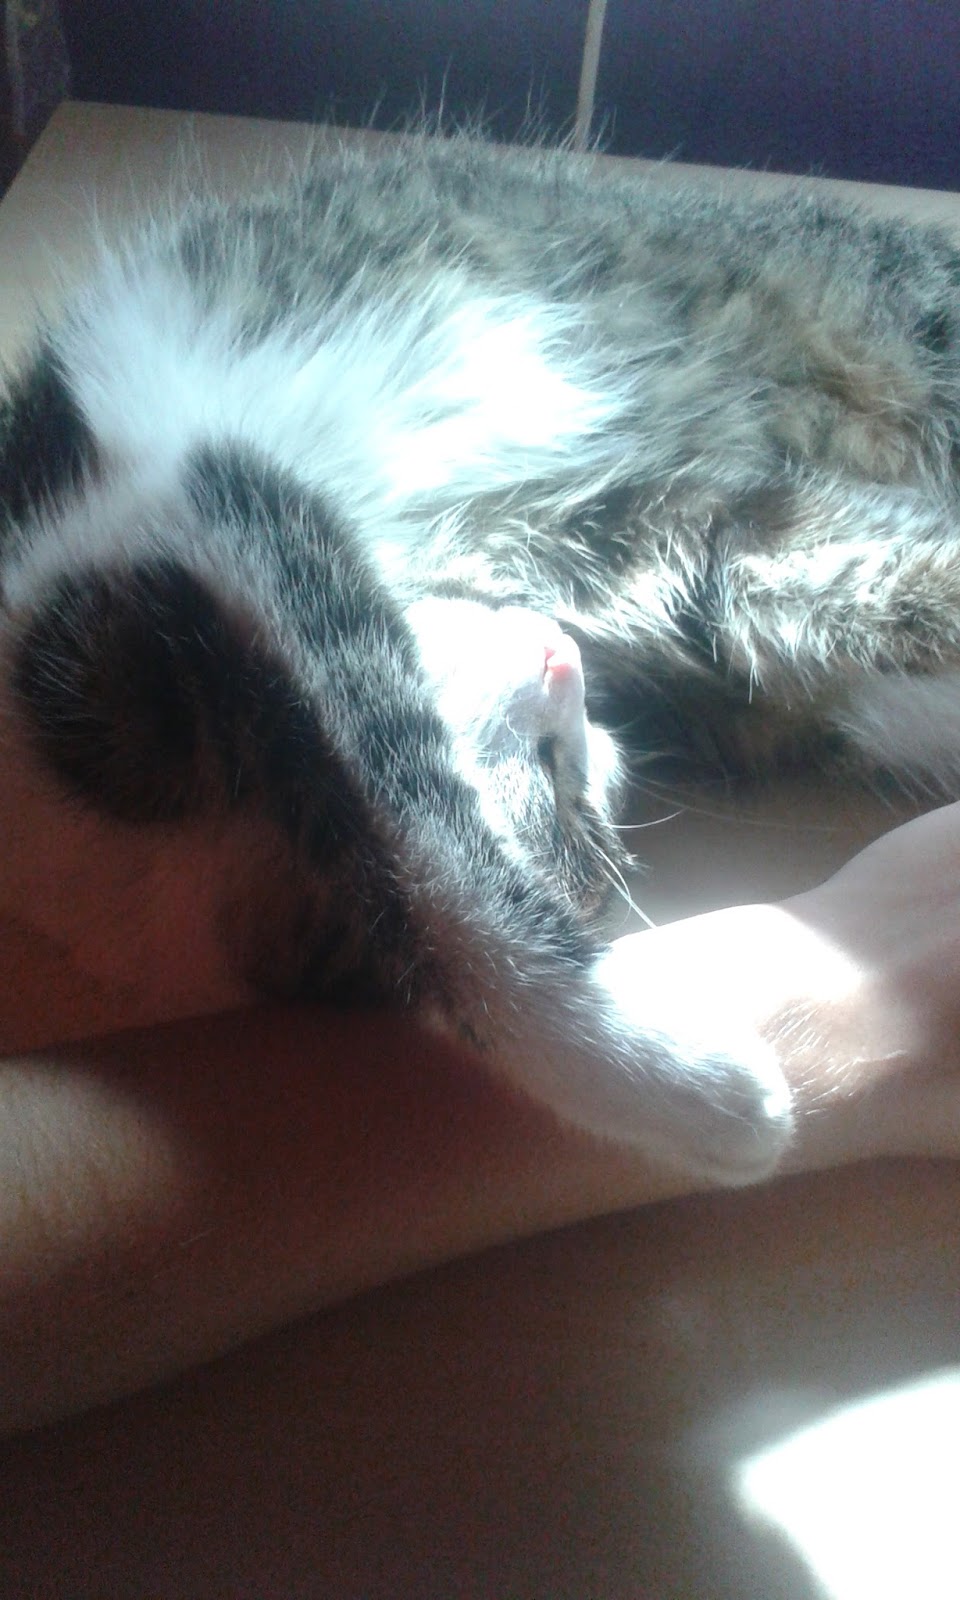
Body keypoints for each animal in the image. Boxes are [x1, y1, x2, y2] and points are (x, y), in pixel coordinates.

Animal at [4, 131, 960, 1183]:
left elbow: (422, 852)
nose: (562, 660)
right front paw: (711, 1096)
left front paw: (699, 1089)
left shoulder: (217, 519)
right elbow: (437, 875)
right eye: (561, 779)